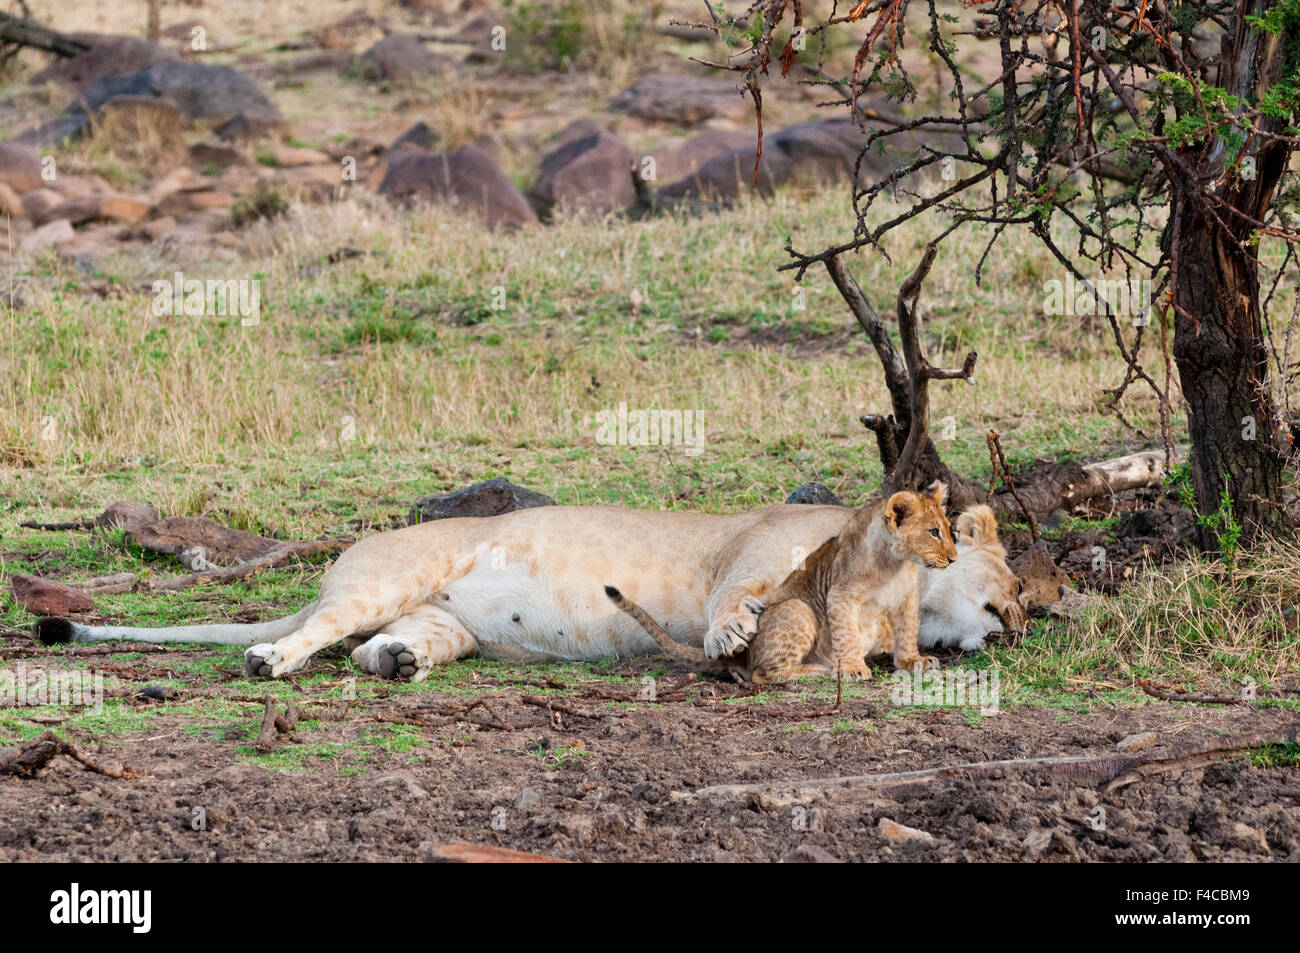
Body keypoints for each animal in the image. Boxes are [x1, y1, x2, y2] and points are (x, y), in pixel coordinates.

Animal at [605, 484, 957, 681]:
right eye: (933, 532)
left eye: (948, 529)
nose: (953, 559)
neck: (896, 565)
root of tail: (741, 655)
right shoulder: (840, 595)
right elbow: (846, 633)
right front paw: (853, 667)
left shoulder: (906, 598)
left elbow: (907, 631)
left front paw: (913, 662)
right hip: (799, 609)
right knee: (763, 674)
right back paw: (818, 671)